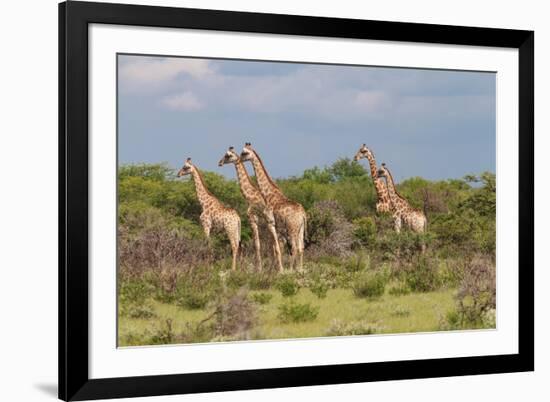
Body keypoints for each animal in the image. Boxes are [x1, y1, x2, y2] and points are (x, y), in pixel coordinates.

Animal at [243, 143, 310, 272]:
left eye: (245, 153)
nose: (240, 158)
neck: (268, 194)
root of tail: (303, 215)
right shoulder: (278, 226)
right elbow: (277, 247)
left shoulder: (271, 223)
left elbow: (277, 247)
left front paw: (279, 270)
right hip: (300, 228)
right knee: (301, 247)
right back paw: (299, 269)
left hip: (292, 228)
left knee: (294, 247)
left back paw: (291, 270)